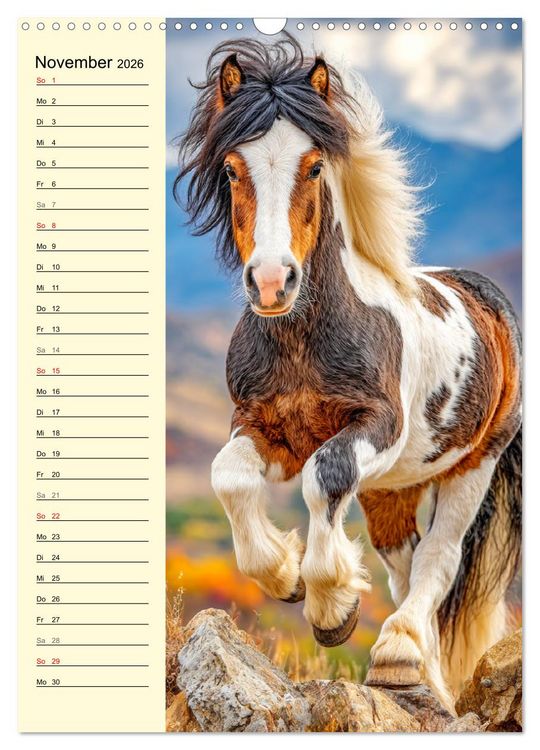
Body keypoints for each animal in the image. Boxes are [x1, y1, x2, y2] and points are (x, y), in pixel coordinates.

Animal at [175, 35, 522, 710]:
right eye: (230, 168)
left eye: (313, 167)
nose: (272, 283)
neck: (303, 341)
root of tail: (490, 300)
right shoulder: (263, 426)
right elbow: (229, 476)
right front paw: (284, 576)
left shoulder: (373, 428)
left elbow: (323, 477)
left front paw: (331, 607)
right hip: (394, 488)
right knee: (405, 567)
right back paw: (419, 674)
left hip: (475, 463)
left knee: (438, 560)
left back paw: (398, 654)